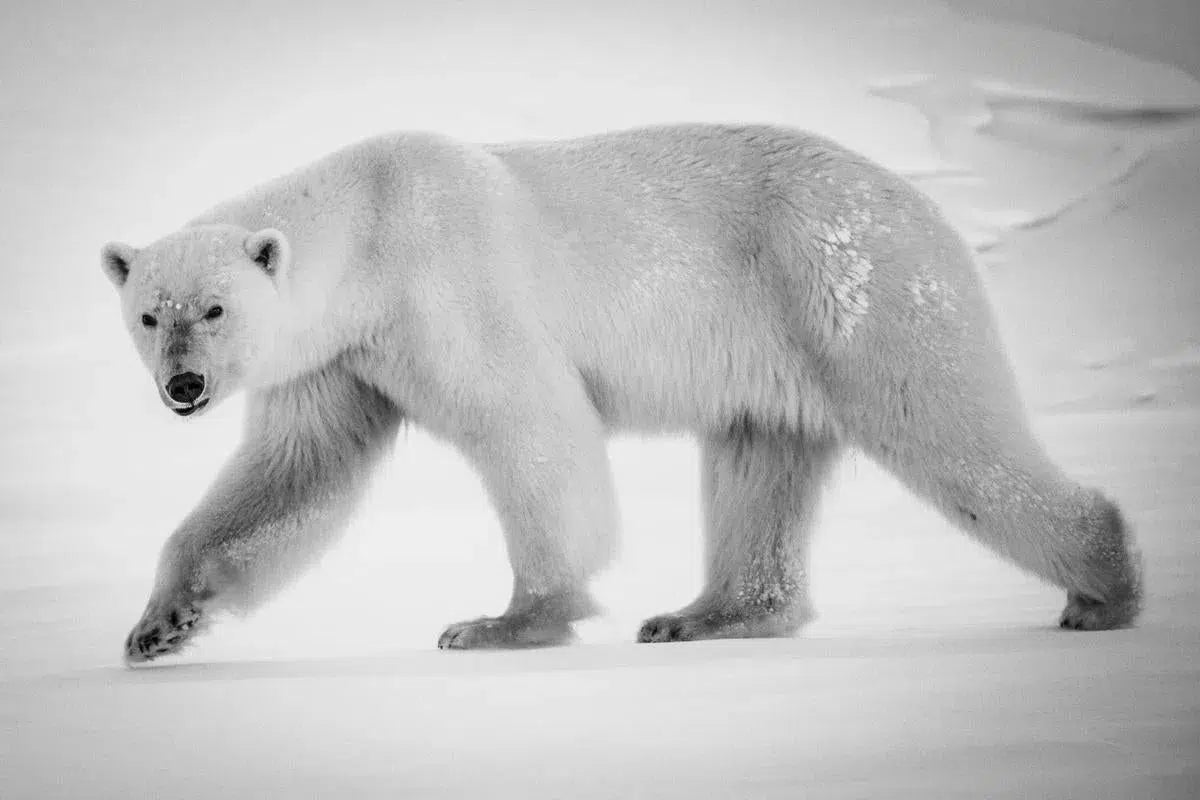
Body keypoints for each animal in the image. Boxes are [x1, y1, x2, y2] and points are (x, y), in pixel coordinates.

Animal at [101, 124, 1142, 663]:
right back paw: (704, 613)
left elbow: (529, 421)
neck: (369, 224)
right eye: (149, 314)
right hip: (781, 343)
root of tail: (927, 204)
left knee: (945, 427)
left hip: (854, 286)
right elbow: (290, 478)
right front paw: (160, 625)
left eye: (215, 307)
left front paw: (503, 621)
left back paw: (1104, 589)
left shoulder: (446, 281)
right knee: (758, 461)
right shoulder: (338, 360)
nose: (185, 386)